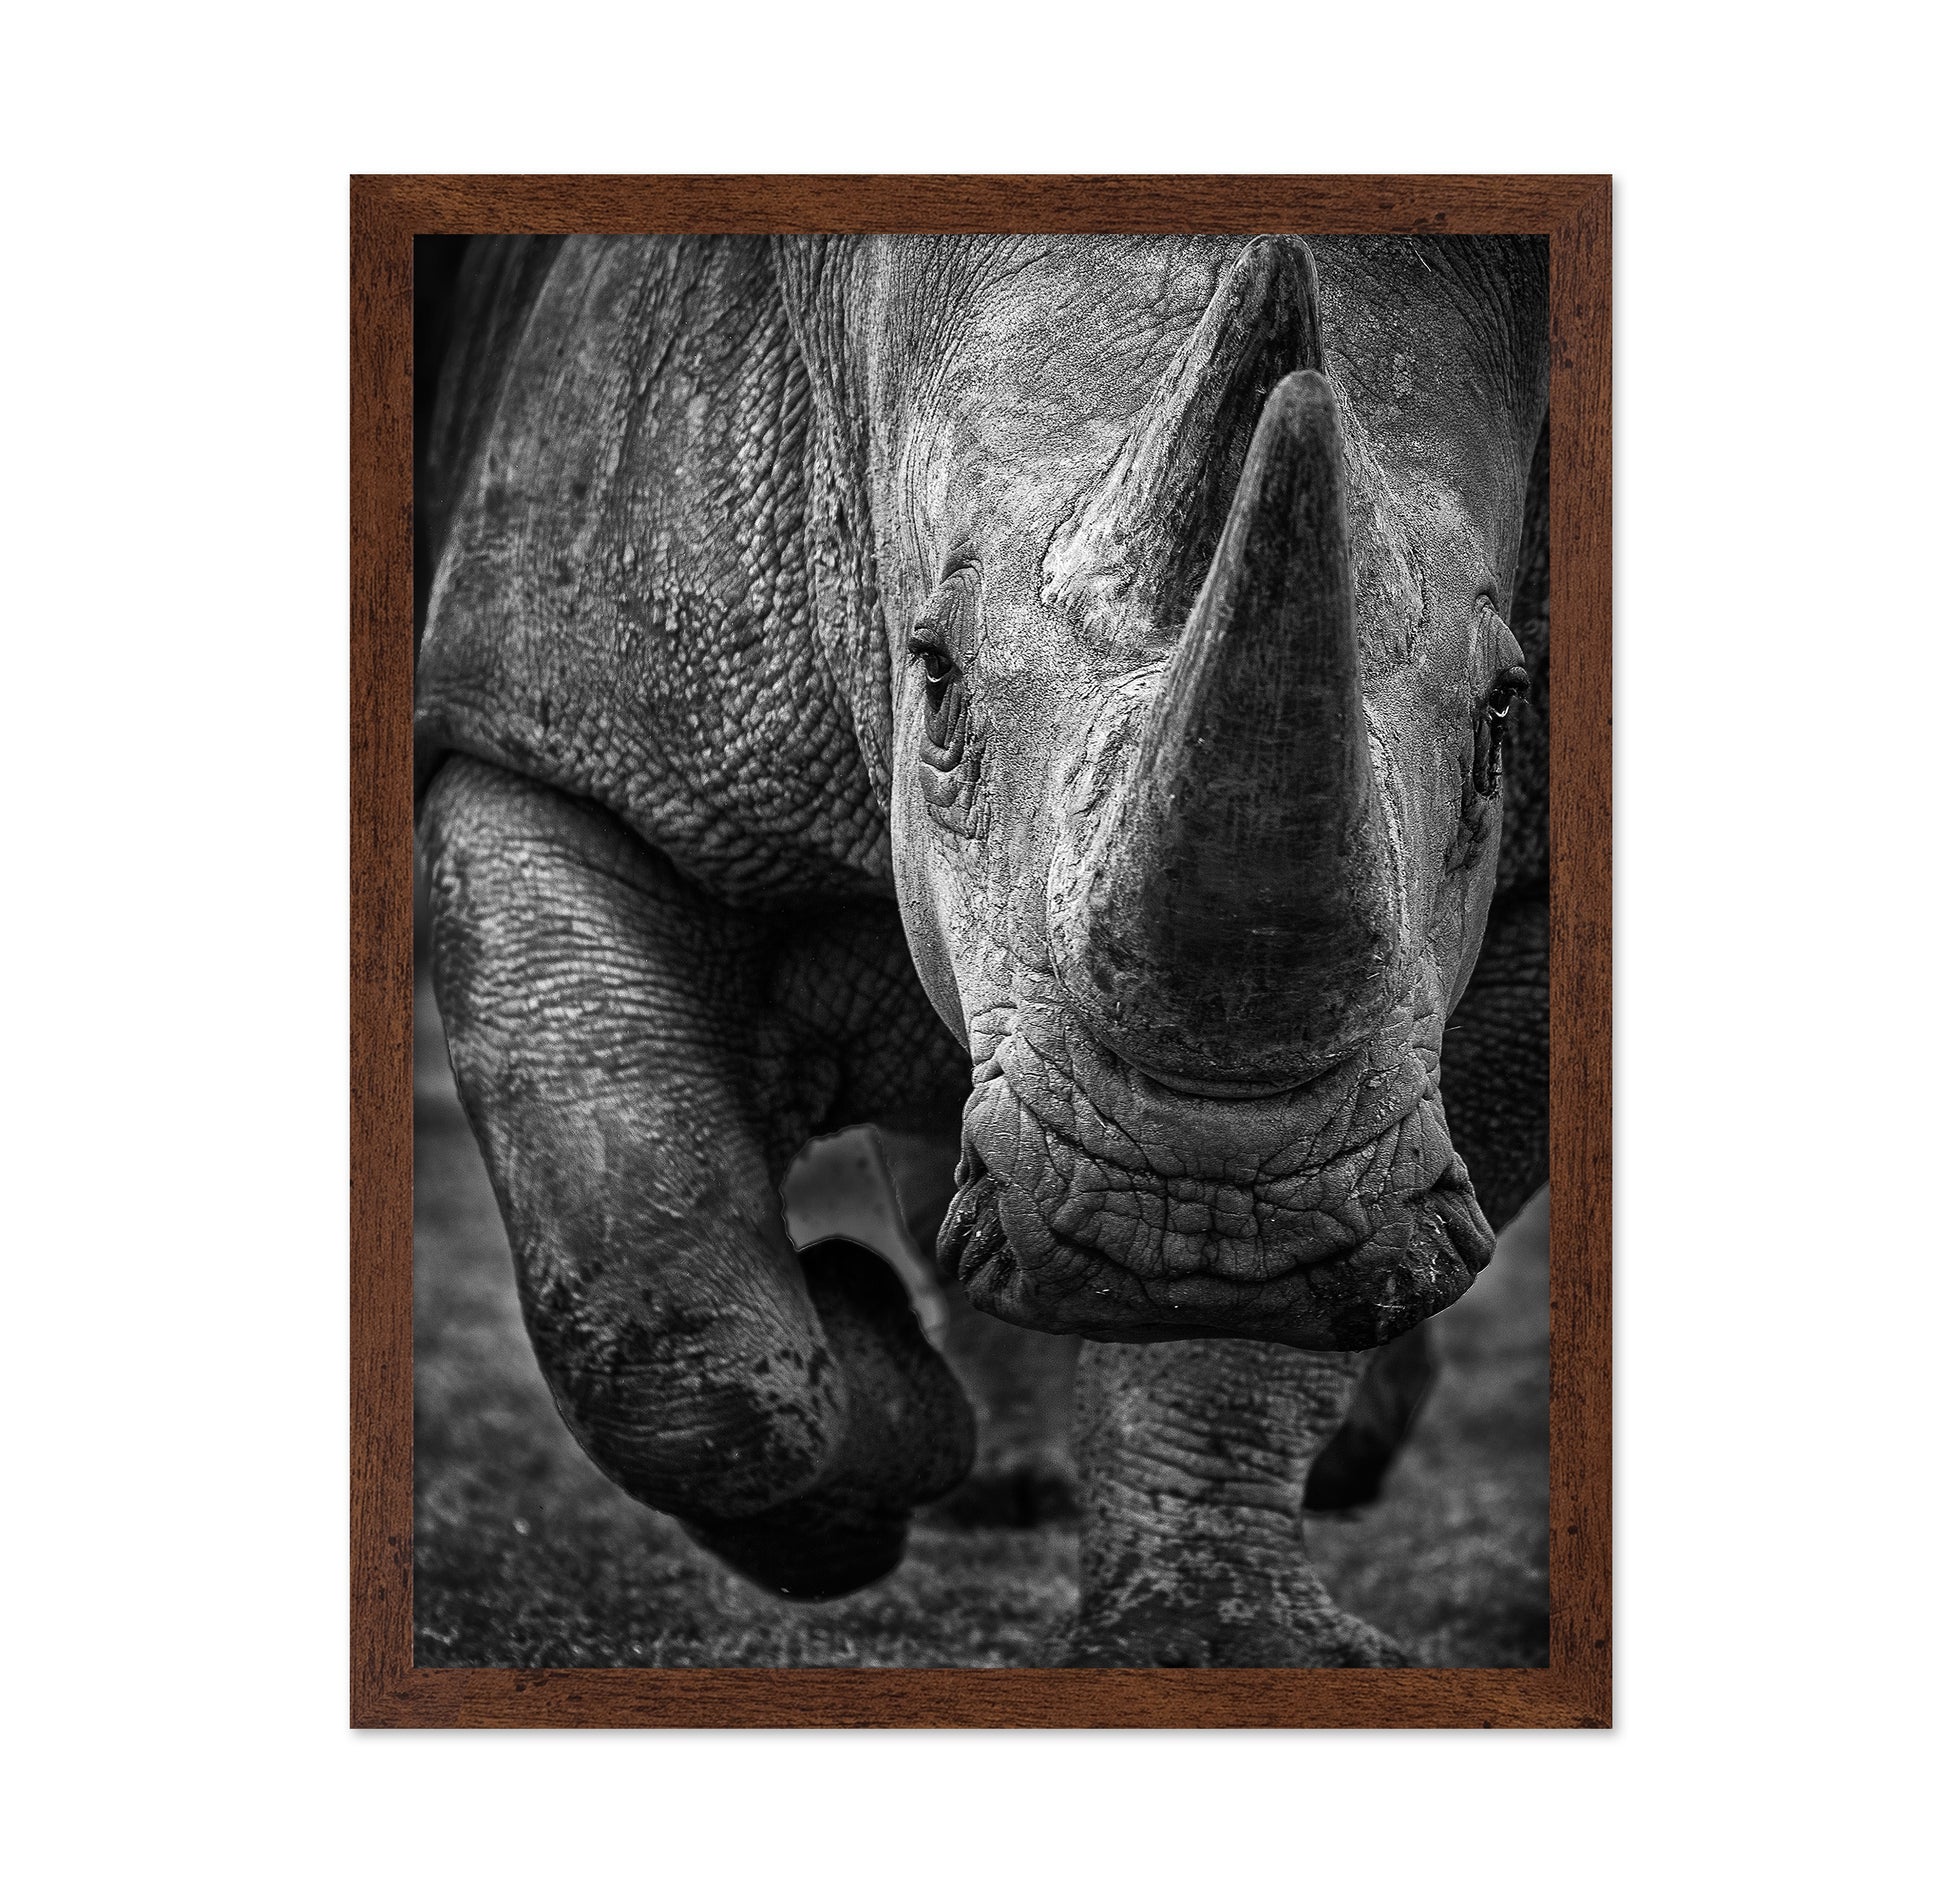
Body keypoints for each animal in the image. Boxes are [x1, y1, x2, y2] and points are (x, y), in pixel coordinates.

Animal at [415, 231, 1550, 1667]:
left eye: (1504, 716)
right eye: (936, 680)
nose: (1199, 1209)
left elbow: (1244, 1345)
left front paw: (1211, 1645)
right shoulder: (553, 736)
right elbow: (661, 1303)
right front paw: (877, 1405)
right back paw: (983, 1469)